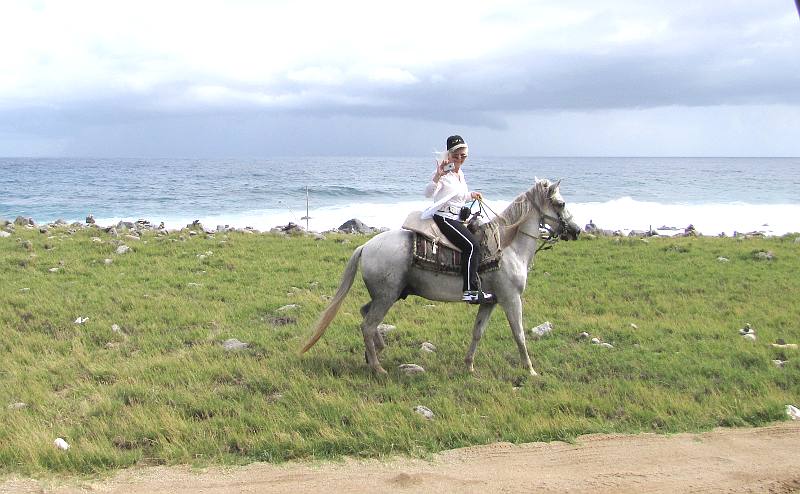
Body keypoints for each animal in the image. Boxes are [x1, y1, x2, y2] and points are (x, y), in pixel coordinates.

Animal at [300, 179, 580, 376]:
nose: (576, 230)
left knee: (364, 314)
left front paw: (469, 365)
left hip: (387, 295)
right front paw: (530, 370)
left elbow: (477, 332)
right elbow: (519, 333)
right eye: (562, 203)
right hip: (387, 296)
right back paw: (378, 367)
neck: (507, 247)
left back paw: (374, 353)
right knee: (367, 325)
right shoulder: (511, 299)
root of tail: (365, 246)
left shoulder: (490, 301)